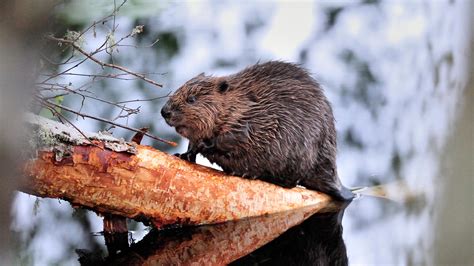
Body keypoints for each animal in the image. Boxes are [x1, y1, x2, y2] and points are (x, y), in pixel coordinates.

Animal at [161, 60, 354, 202]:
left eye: (191, 99)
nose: (165, 111)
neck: (242, 104)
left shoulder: (260, 119)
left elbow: (237, 138)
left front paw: (206, 146)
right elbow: (193, 142)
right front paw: (184, 154)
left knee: (290, 181)